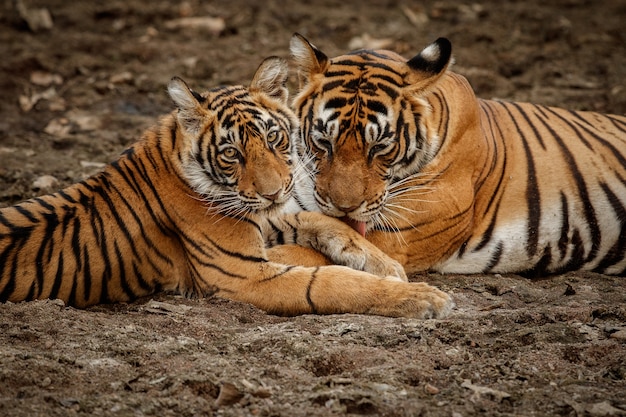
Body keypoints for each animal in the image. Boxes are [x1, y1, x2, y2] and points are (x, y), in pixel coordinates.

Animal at [0, 53, 450, 316]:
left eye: (274, 137)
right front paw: (424, 297)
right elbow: (329, 283)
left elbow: (321, 222)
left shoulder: (264, 219)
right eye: (231, 153)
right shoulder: (242, 273)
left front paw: (386, 264)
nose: (274, 191)